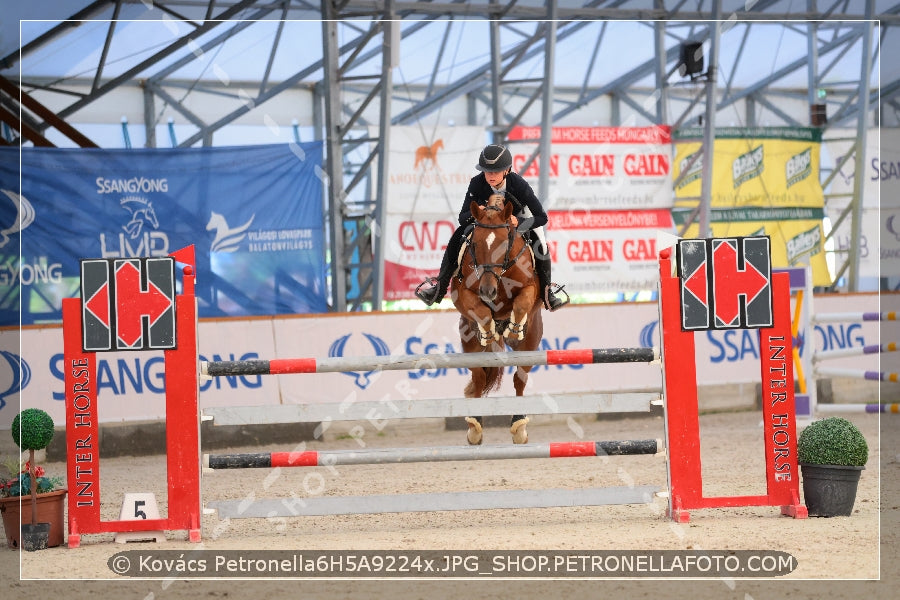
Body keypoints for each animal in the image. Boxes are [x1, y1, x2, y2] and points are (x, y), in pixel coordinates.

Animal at [450, 195, 540, 442]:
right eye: (475, 245)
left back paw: (519, 426)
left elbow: (521, 303)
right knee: (479, 378)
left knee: (520, 378)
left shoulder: (530, 288)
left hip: (531, 343)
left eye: (503, 244)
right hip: (468, 342)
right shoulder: (463, 292)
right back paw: (474, 426)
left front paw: (514, 328)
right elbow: (479, 310)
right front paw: (488, 330)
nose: (488, 291)